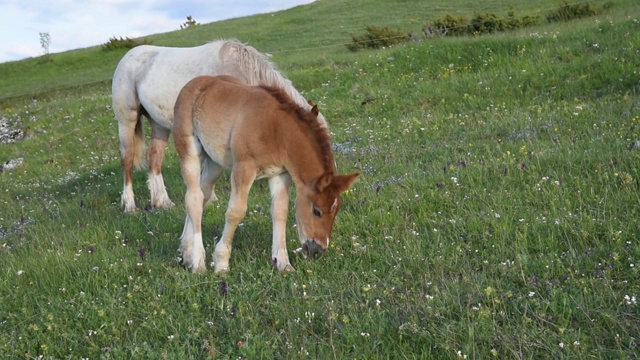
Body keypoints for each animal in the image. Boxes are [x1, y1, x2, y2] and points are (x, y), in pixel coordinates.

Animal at [110, 39, 328, 212]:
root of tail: (127, 57)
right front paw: (209, 198)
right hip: (126, 122)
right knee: (127, 159)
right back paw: (129, 205)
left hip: (159, 125)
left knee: (154, 158)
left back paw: (162, 202)